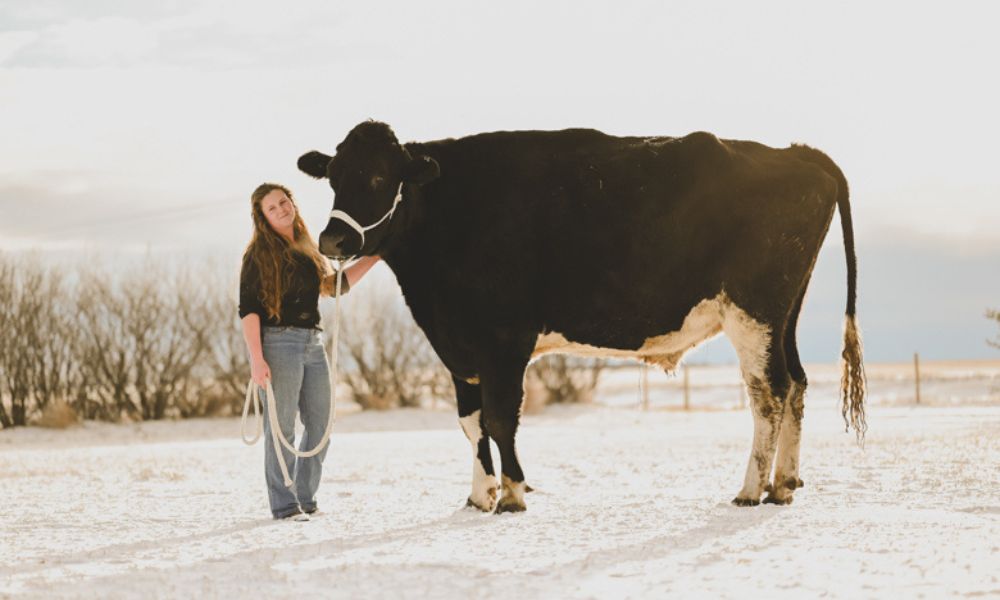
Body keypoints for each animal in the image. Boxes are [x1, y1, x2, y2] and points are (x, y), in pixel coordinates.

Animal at [296, 120, 868, 510]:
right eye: (333, 176)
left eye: (378, 176)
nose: (333, 239)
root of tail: (795, 152)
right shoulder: (458, 347)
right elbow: (470, 421)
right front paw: (479, 497)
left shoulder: (504, 339)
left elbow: (501, 419)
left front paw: (513, 494)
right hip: (783, 316)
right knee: (796, 383)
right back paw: (783, 484)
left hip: (754, 312)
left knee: (768, 393)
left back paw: (751, 489)